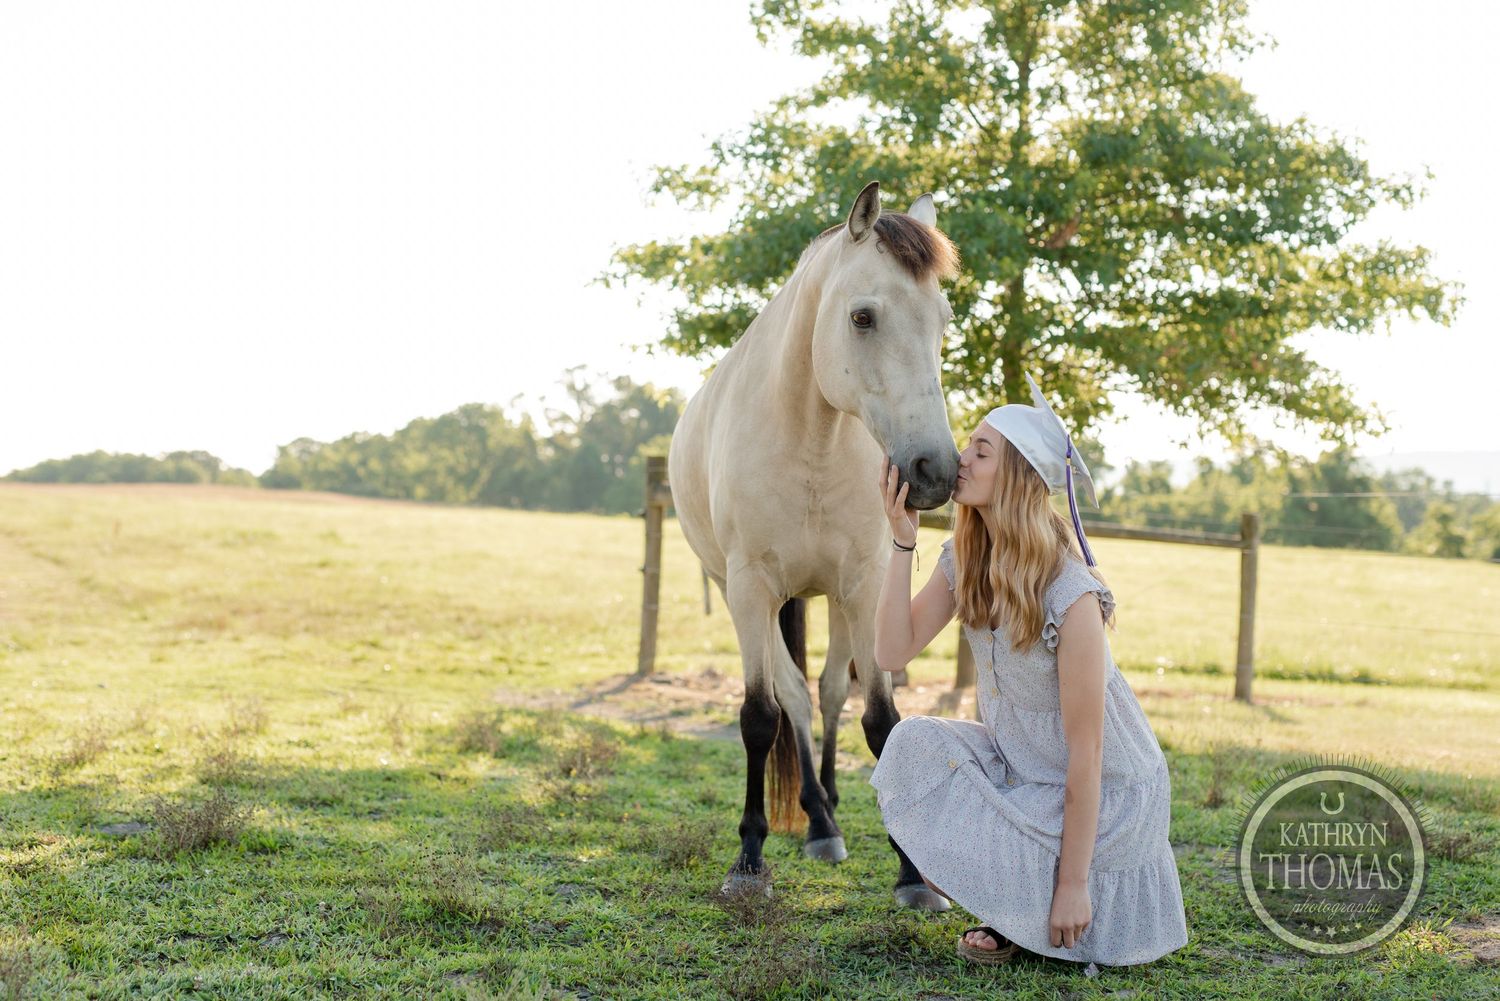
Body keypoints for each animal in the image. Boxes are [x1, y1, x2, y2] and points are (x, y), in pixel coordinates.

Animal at [668, 181, 961, 907]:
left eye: (942, 319)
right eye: (862, 316)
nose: (935, 471)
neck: (811, 438)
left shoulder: (865, 584)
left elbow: (879, 717)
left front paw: (913, 873)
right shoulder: (749, 589)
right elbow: (760, 714)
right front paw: (749, 859)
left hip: (832, 596)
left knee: (828, 692)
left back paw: (827, 803)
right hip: (756, 596)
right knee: (796, 697)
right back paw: (817, 819)